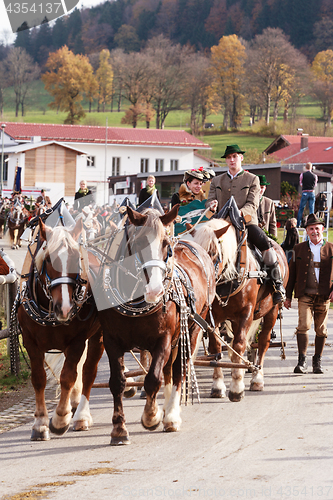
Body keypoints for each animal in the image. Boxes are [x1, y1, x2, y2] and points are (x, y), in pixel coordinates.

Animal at [16, 217, 102, 440]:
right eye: (48, 259)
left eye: (75, 259)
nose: (64, 308)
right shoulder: (30, 341)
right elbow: (39, 379)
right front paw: (40, 424)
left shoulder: (77, 341)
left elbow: (68, 377)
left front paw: (60, 419)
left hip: (98, 335)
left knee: (88, 371)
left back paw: (80, 416)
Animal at [95, 205, 215, 448]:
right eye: (138, 242)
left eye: (165, 244)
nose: (155, 290)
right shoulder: (111, 341)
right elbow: (117, 382)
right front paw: (119, 429)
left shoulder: (164, 340)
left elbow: (152, 379)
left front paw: (152, 416)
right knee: (169, 371)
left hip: (192, 331)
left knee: (178, 371)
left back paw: (171, 416)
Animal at [188, 219, 290, 402]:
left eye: (213, 253)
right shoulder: (212, 317)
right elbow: (216, 348)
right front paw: (218, 385)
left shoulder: (246, 314)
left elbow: (240, 344)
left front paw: (236, 387)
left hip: (271, 311)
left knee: (263, 341)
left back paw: (257, 378)